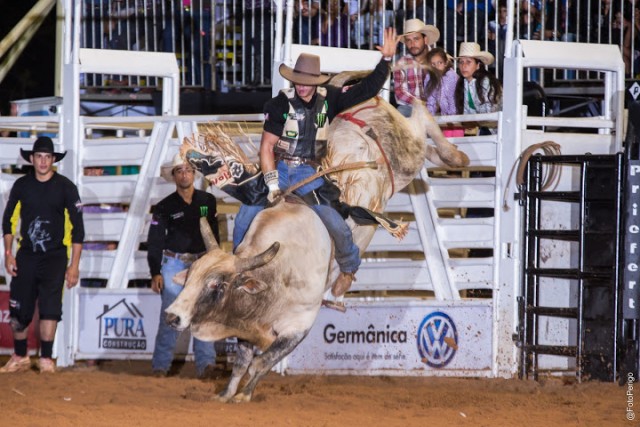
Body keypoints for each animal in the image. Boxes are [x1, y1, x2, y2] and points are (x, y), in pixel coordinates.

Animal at [162, 72, 468, 402]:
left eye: (216, 284)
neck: (275, 272)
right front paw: (227, 395)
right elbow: (243, 360)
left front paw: (245, 394)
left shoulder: (300, 324)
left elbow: (261, 362)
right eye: (190, 276)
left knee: (421, 118)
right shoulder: (247, 325)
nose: (172, 316)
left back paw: (454, 152)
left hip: (406, 156)